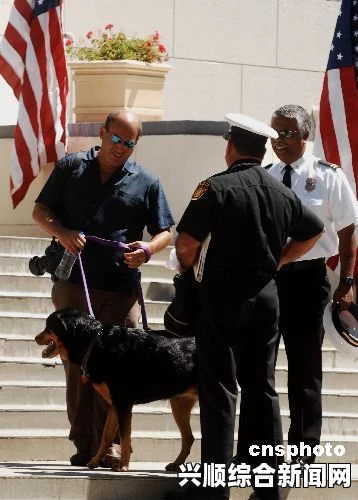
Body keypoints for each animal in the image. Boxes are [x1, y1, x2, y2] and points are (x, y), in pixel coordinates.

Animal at [35, 308, 197, 472]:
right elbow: (106, 436)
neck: (94, 342)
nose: (35, 338)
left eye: (48, 325)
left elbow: (125, 438)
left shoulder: (123, 404)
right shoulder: (114, 405)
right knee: (188, 438)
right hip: (180, 406)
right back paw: (176, 464)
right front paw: (95, 462)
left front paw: (123, 466)